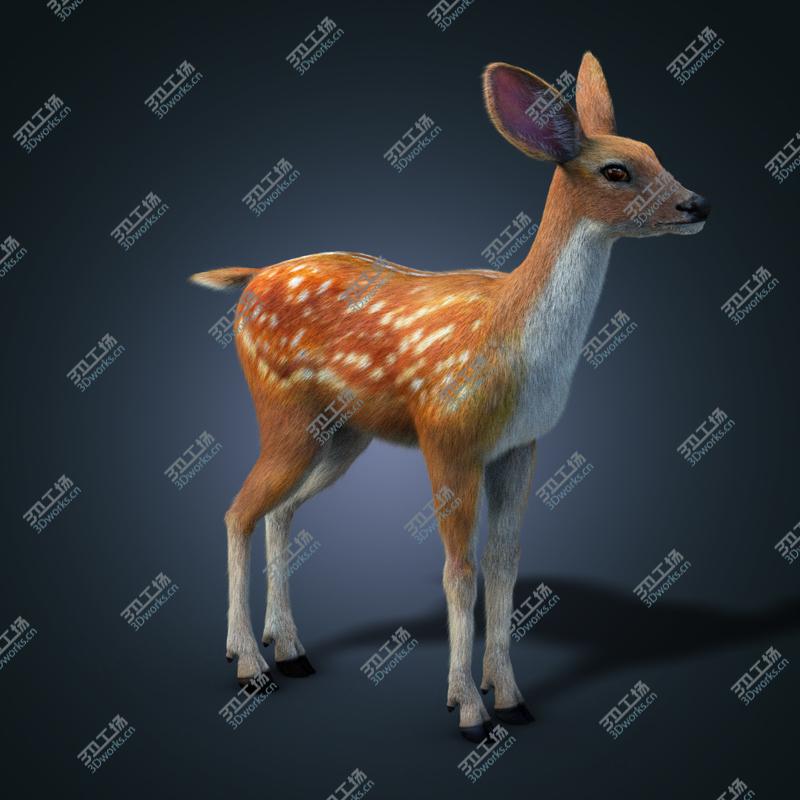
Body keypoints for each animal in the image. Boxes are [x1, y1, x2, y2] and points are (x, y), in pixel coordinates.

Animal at [190, 52, 710, 742]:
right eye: (617, 170)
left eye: (655, 151)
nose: (697, 203)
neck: (515, 343)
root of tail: (247, 282)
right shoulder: (448, 432)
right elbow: (459, 572)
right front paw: (467, 708)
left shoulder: (520, 444)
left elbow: (504, 564)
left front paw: (509, 696)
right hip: (282, 410)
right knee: (237, 511)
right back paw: (249, 663)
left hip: (343, 433)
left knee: (278, 511)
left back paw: (291, 649)